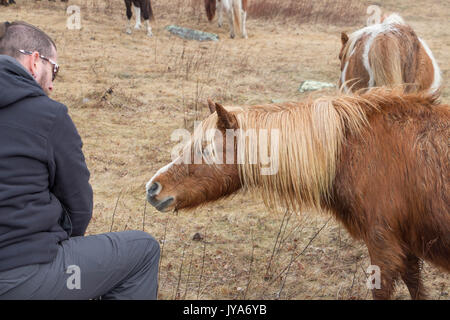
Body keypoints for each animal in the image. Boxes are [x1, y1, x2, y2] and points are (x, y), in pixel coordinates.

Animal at [146, 89, 448, 300]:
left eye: (207, 149)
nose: (152, 188)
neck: (348, 152)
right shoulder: (406, 247)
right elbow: (416, 287)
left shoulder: (383, 244)